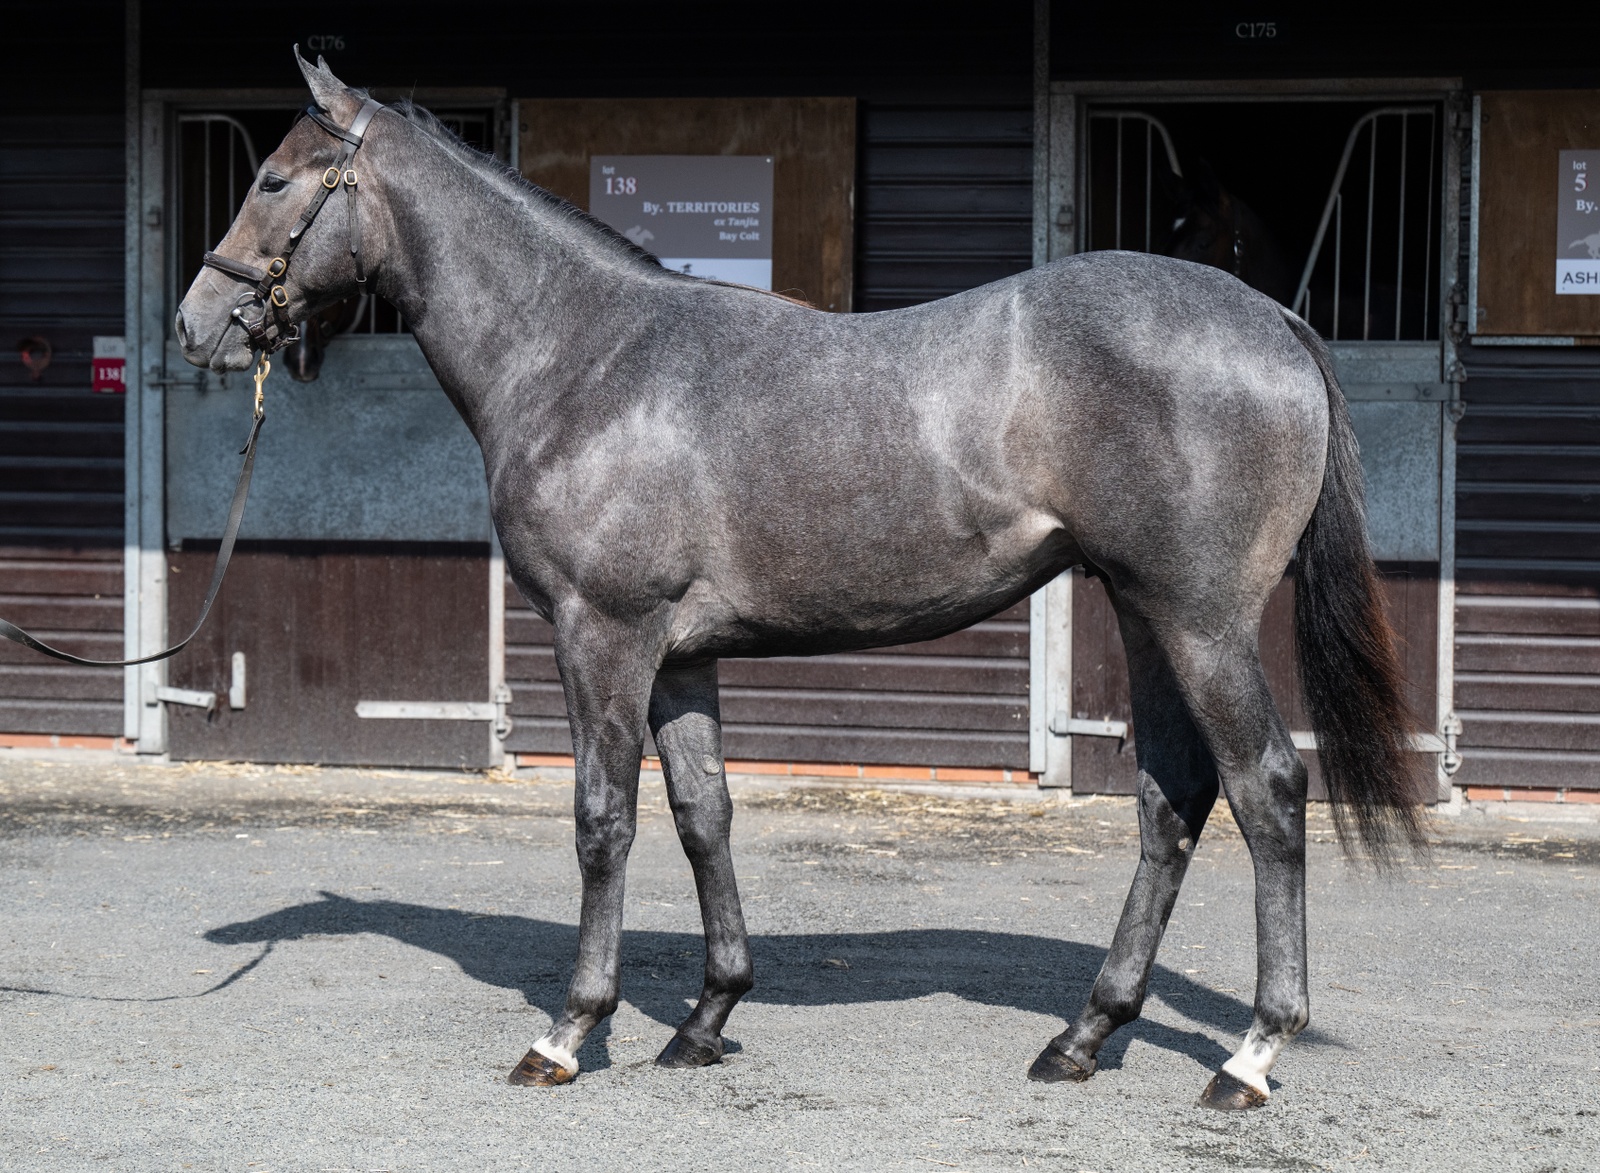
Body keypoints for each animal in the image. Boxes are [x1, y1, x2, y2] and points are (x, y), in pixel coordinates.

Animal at [175, 54, 1427, 1113]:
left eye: (273, 178)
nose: (197, 325)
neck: (585, 359)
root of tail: (1270, 317)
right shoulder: (679, 657)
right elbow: (702, 816)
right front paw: (707, 1017)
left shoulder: (603, 636)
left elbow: (602, 821)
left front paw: (570, 1032)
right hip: (1141, 610)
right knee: (1174, 801)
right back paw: (1082, 1037)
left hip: (1200, 619)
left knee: (1266, 791)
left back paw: (1249, 1055)